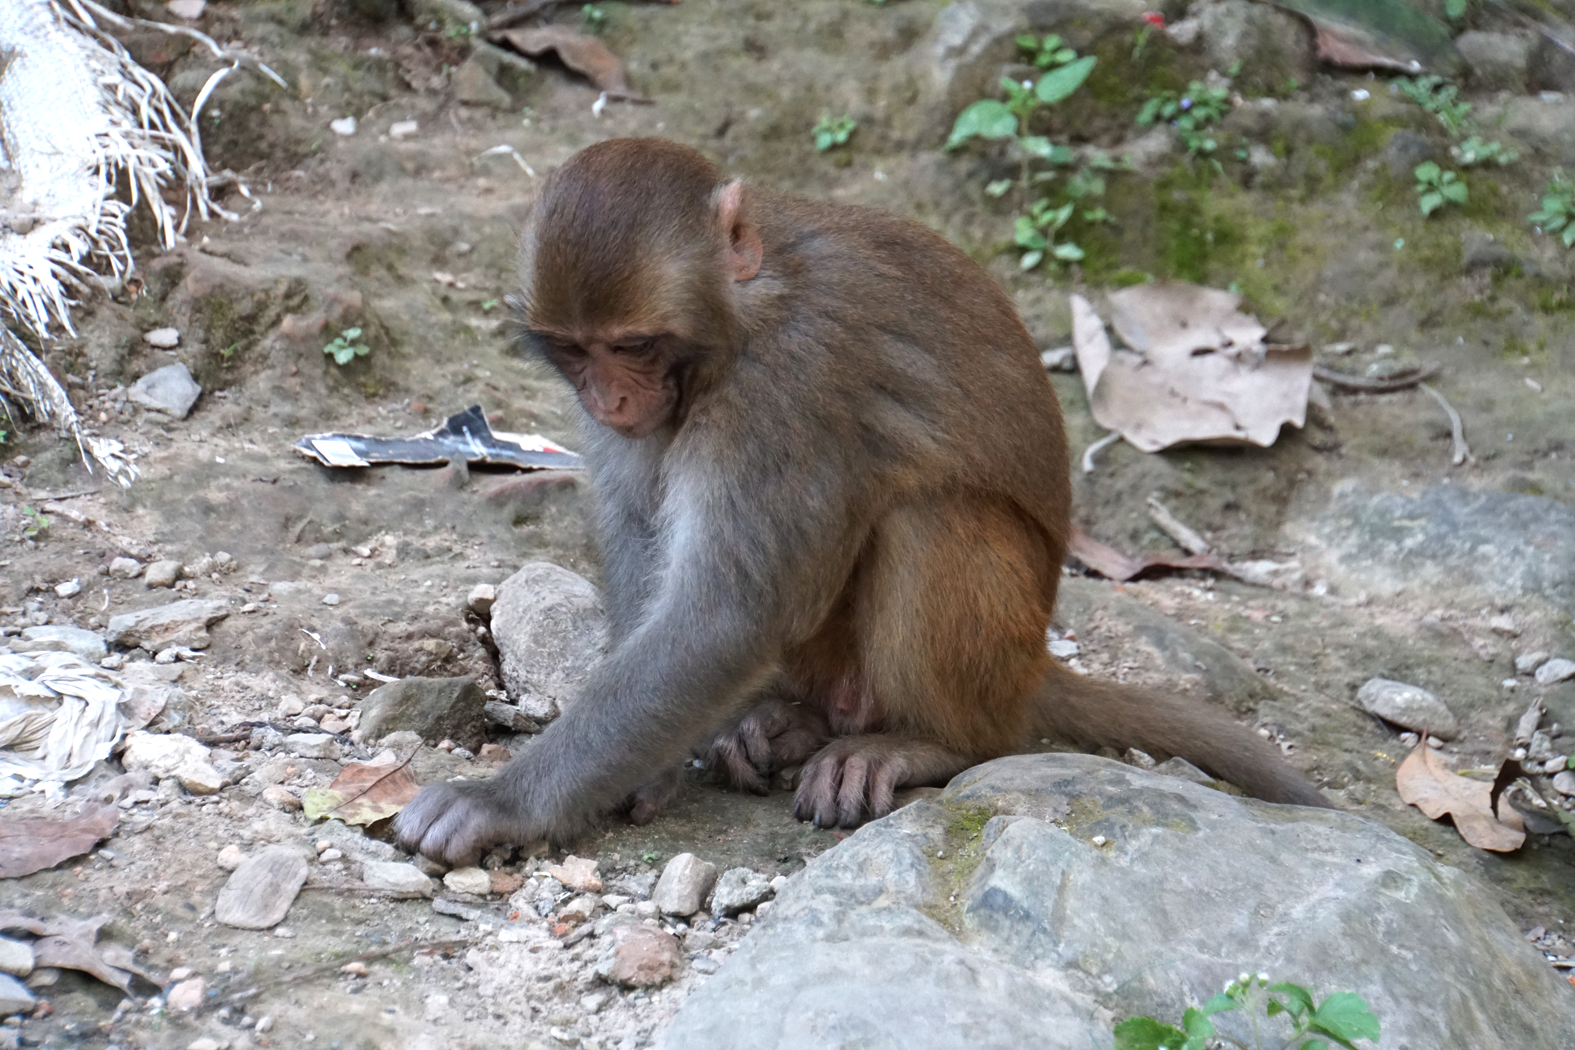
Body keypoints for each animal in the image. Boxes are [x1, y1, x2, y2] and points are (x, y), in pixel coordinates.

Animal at [395, 137, 1330, 865]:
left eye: (633, 344)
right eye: (574, 351)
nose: (611, 400)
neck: (739, 315)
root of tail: (1031, 669)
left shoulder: (786, 384)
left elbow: (727, 615)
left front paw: (504, 803)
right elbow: (642, 537)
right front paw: (650, 763)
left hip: (994, 662)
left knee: (931, 520)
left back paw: (930, 745)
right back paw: (784, 724)